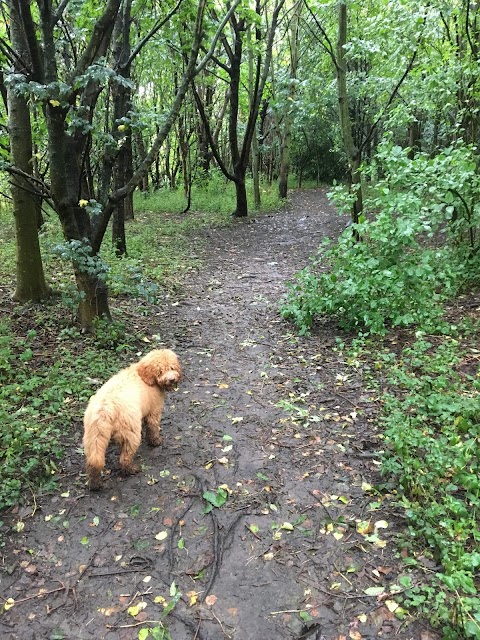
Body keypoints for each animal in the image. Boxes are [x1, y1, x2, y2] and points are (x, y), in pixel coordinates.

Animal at [83, 350, 181, 490]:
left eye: (172, 367)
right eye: (160, 371)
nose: (172, 379)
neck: (143, 375)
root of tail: (106, 408)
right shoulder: (153, 411)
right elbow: (152, 427)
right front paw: (156, 441)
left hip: (93, 435)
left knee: (94, 461)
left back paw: (95, 484)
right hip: (130, 432)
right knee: (125, 458)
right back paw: (132, 469)